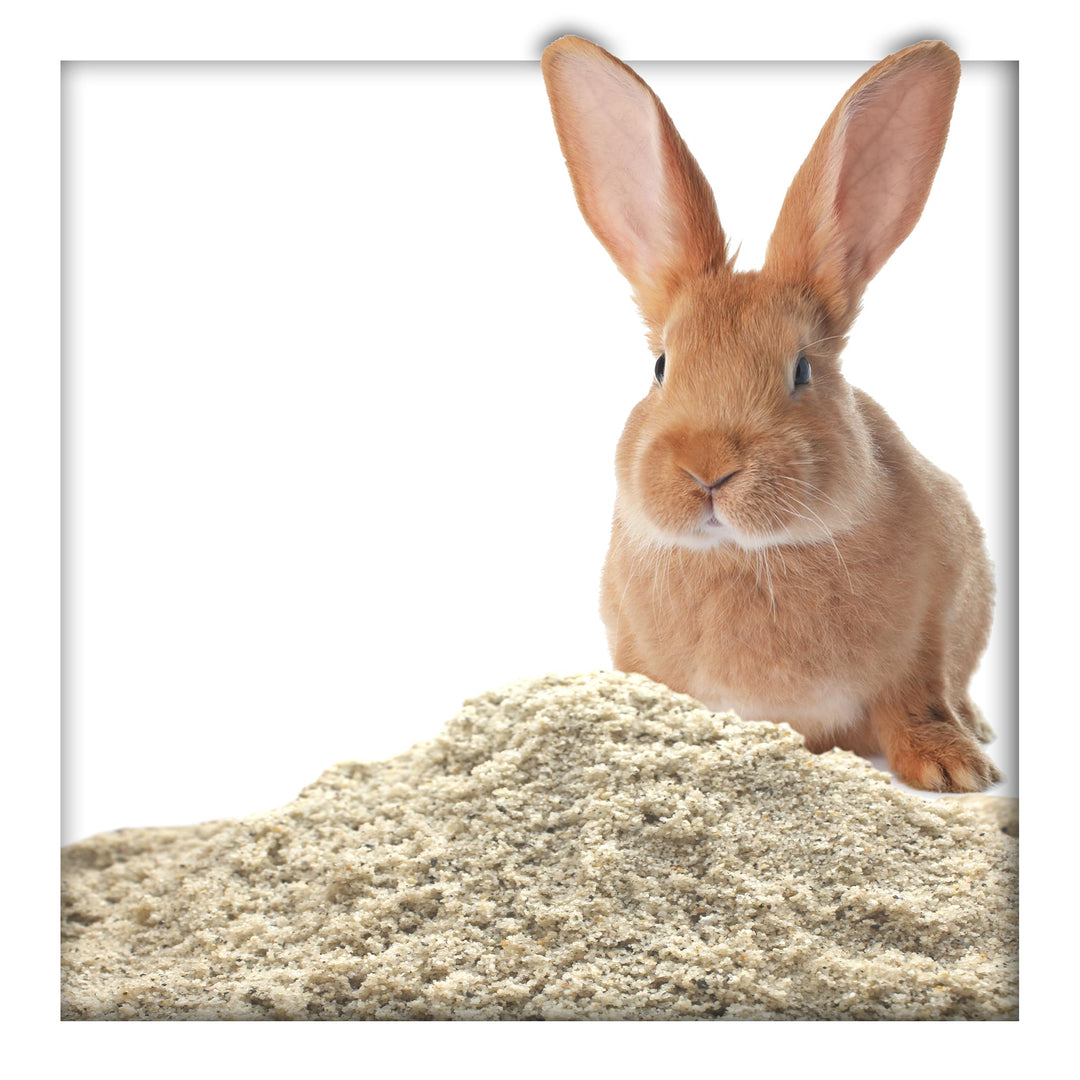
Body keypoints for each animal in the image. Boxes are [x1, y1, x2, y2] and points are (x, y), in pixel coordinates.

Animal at [541, 37, 999, 792]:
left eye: (803, 370)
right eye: (660, 368)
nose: (708, 469)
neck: (745, 555)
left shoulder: (929, 632)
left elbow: (915, 699)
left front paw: (951, 771)